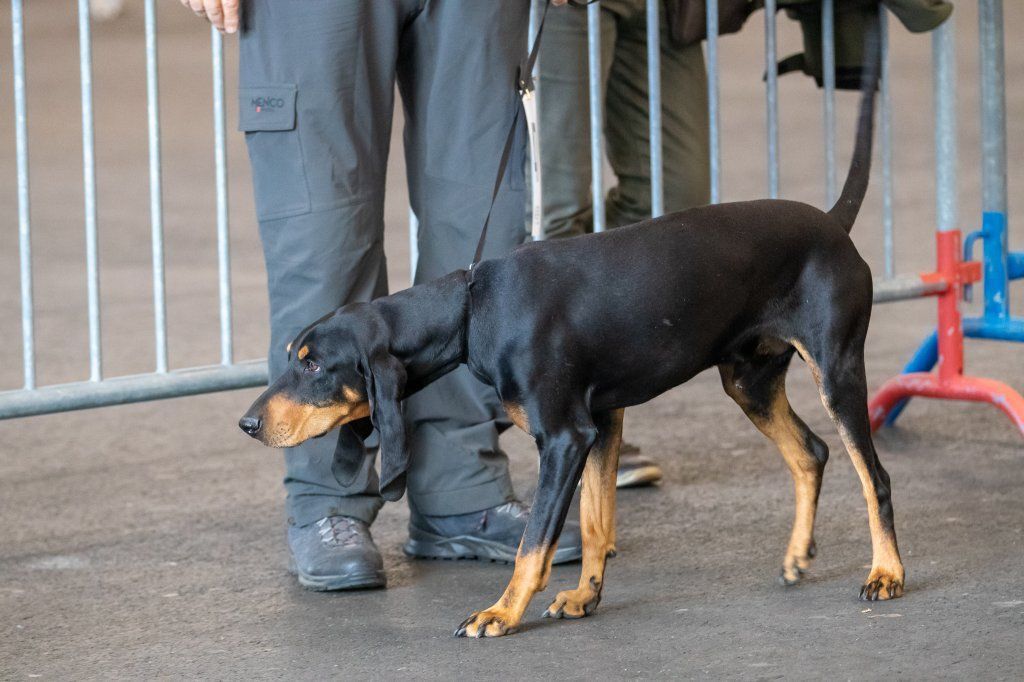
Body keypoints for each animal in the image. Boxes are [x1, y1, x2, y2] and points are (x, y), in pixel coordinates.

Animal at [237, 11, 897, 638]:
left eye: (314, 366)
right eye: (294, 356)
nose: (247, 424)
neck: (474, 308)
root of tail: (833, 223)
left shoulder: (564, 436)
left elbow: (535, 541)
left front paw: (501, 612)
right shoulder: (600, 421)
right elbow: (596, 518)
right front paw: (584, 596)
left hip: (837, 372)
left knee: (876, 477)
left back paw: (887, 572)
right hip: (749, 382)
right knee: (810, 453)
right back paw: (798, 555)